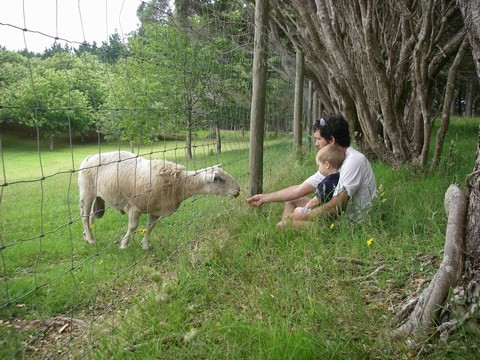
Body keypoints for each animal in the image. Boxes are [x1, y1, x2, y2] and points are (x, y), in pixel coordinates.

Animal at [78, 151, 240, 250]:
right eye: (219, 179)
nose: (238, 190)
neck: (178, 184)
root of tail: (89, 157)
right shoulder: (135, 206)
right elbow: (133, 227)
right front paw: (124, 245)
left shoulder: (156, 209)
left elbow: (150, 227)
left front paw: (145, 245)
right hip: (86, 191)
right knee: (84, 217)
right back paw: (91, 240)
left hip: (97, 196)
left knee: (91, 217)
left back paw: (87, 236)